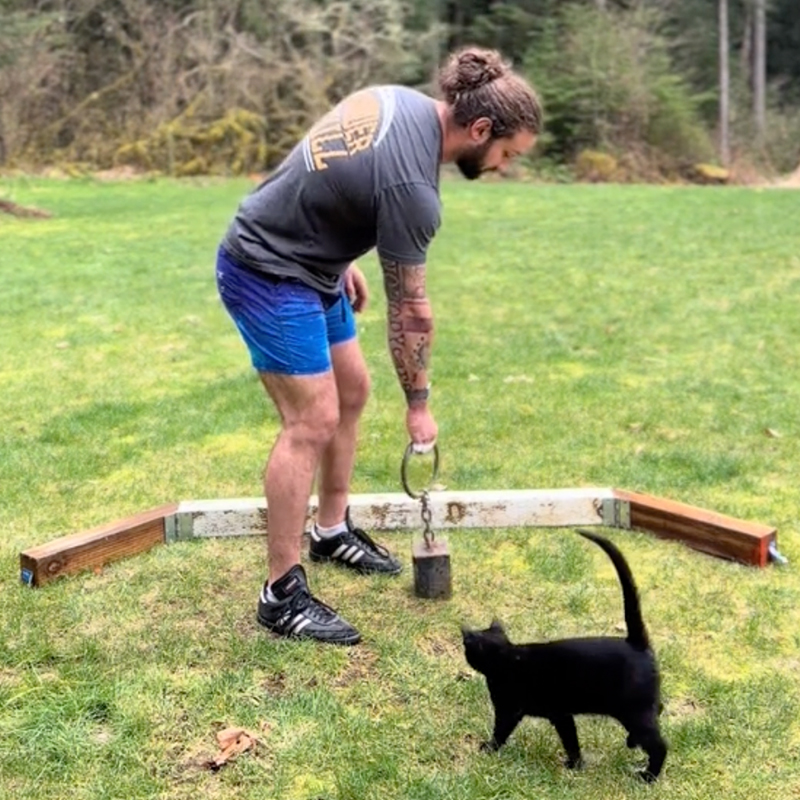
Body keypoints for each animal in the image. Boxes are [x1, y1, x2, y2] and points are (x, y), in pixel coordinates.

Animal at [460, 532, 664, 780]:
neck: (508, 658)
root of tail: (635, 642)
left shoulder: (512, 709)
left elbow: (501, 731)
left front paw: (489, 748)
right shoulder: (561, 715)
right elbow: (571, 739)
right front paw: (576, 763)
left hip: (633, 711)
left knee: (659, 744)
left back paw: (648, 776)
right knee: (658, 711)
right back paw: (633, 743)